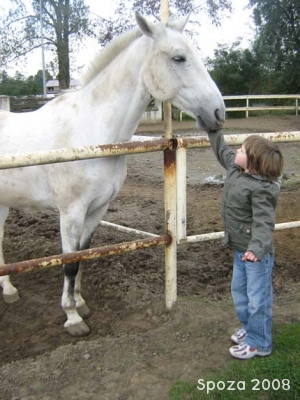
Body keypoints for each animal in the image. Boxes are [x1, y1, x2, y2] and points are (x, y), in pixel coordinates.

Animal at [0, 12, 225, 336]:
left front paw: (80, 303)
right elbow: (70, 262)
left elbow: (84, 254)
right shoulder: (70, 213)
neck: (91, 133)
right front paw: (72, 318)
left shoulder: (97, 209)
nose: (219, 113)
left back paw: (8, 289)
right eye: (179, 57)